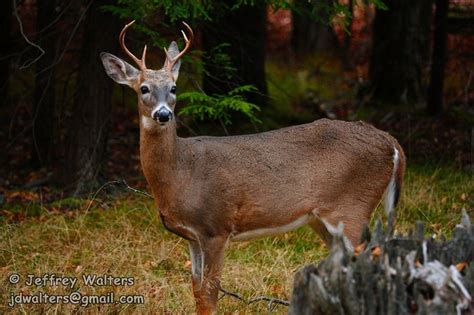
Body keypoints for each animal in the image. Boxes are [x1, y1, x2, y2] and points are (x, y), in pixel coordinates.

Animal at [100, 21, 404, 314]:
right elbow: (197, 292)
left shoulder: (216, 227)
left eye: (174, 88)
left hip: (352, 206)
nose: (163, 114)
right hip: (322, 219)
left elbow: (209, 296)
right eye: (144, 88)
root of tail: (391, 142)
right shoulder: (192, 236)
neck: (181, 172)